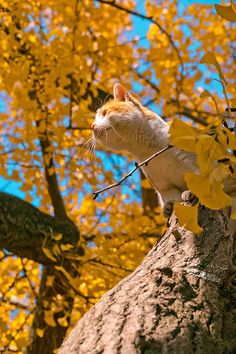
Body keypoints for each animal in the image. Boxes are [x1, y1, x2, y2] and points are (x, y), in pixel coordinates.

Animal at [91, 82, 236, 221]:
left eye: (105, 113)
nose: (91, 126)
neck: (147, 147)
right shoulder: (164, 186)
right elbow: (171, 195)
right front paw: (170, 205)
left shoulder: (201, 166)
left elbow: (200, 180)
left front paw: (190, 192)